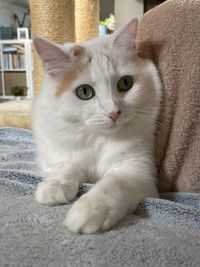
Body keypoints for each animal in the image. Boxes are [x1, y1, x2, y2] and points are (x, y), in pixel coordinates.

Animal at [32, 18, 161, 234]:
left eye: (125, 83)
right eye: (84, 92)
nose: (114, 113)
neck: (99, 138)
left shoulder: (138, 169)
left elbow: (114, 182)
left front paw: (88, 210)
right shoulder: (56, 156)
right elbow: (66, 166)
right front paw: (52, 188)